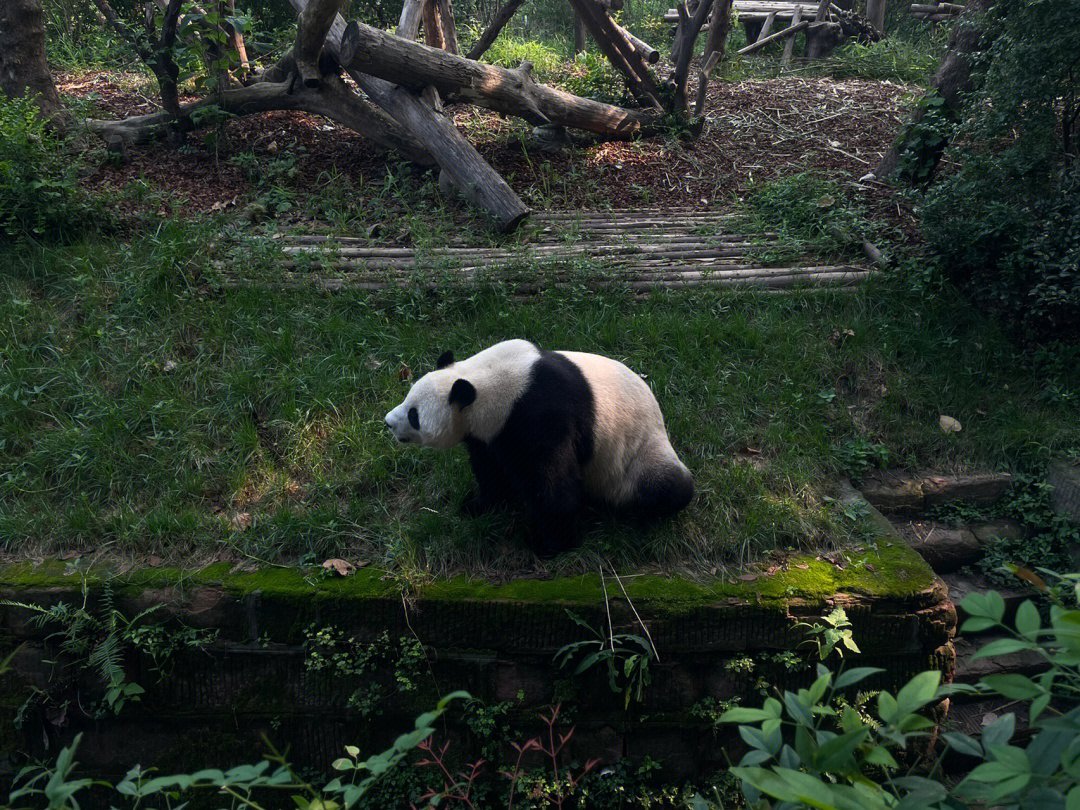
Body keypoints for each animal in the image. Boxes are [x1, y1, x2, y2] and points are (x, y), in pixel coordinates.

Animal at [384, 341, 695, 557]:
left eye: (414, 415)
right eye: (407, 397)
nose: (388, 422)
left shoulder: (542, 413)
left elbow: (552, 481)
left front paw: (549, 543)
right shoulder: (489, 432)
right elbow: (490, 470)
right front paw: (476, 505)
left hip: (638, 455)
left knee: (666, 486)